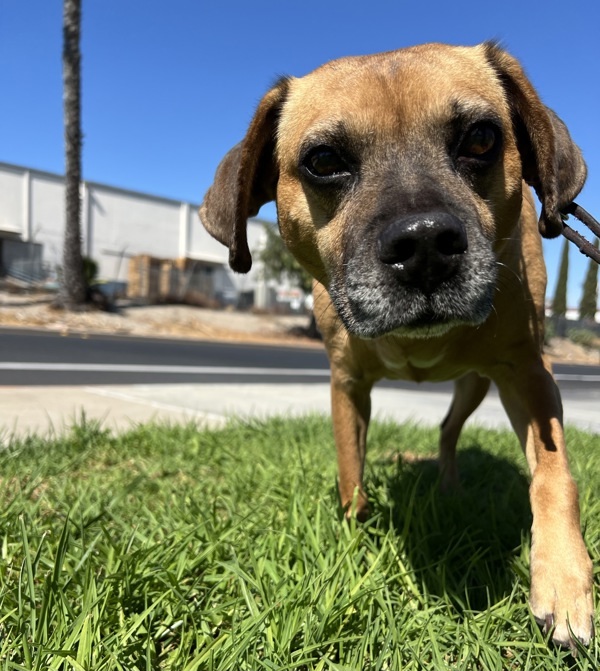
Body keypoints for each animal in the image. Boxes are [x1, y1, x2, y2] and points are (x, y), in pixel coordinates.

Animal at [199, 40, 592, 644]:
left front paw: (565, 583)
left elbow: (554, 476)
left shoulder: (528, 374)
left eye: (482, 137)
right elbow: (350, 472)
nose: (425, 243)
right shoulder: (347, 384)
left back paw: (451, 487)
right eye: (323, 160)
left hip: (478, 386)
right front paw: (352, 537)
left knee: (448, 430)